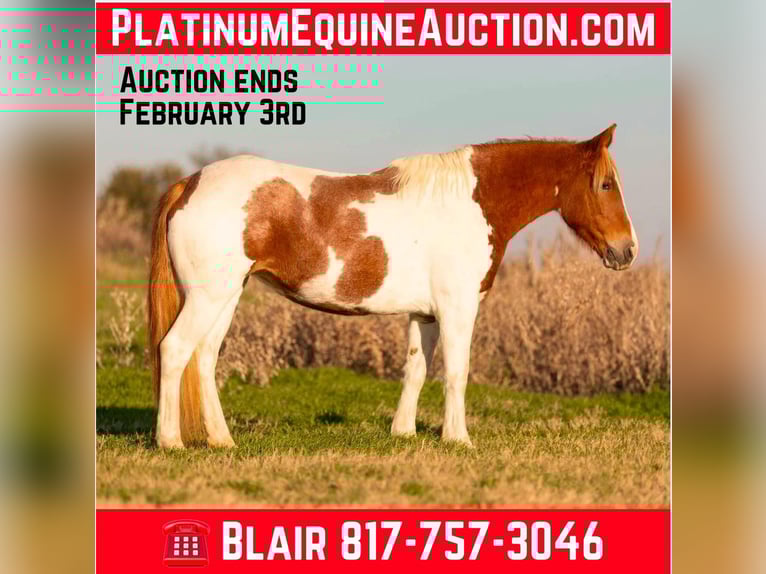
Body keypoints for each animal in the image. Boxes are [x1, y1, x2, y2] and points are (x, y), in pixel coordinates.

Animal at [148, 124, 637, 449]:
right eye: (606, 184)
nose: (627, 250)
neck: (473, 202)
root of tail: (189, 183)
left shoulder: (425, 314)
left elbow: (416, 369)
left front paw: (403, 432)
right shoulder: (457, 309)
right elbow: (456, 372)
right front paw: (458, 439)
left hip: (226, 296)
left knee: (204, 358)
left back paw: (222, 441)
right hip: (209, 297)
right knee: (175, 350)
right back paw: (170, 441)